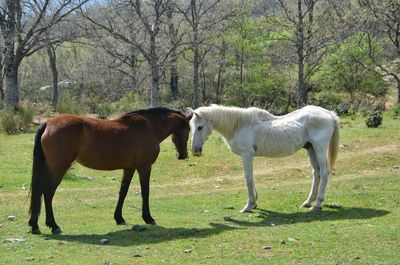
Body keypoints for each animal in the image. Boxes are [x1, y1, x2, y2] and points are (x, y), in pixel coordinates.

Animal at [28, 107, 192, 233]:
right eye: (188, 129)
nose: (183, 155)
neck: (149, 127)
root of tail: (48, 123)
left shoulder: (129, 168)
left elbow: (123, 192)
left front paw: (119, 218)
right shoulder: (144, 167)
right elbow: (145, 192)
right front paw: (148, 218)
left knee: (40, 192)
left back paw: (35, 225)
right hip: (58, 169)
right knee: (48, 193)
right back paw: (54, 226)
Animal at [189, 104, 340, 211]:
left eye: (200, 127)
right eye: (191, 127)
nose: (195, 150)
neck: (239, 125)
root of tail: (329, 114)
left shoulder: (247, 156)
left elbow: (248, 179)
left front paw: (249, 206)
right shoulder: (248, 157)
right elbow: (251, 178)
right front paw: (254, 203)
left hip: (320, 148)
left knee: (324, 173)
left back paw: (318, 204)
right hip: (311, 149)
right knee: (316, 173)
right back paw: (308, 202)